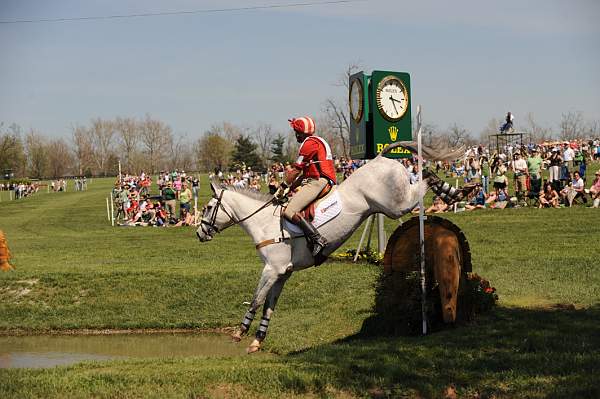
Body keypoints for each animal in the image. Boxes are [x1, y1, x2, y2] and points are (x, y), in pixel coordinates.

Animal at [197, 141, 464, 354]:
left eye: (208, 208)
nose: (199, 233)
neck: (264, 223)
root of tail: (379, 158)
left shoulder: (272, 270)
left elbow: (255, 300)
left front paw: (239, 333)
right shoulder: (283, 273)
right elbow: (268, 307)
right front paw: (257, 341)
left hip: (395, 206)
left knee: (425, 179)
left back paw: (454, 192)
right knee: (425, 175)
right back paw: (455, 192)